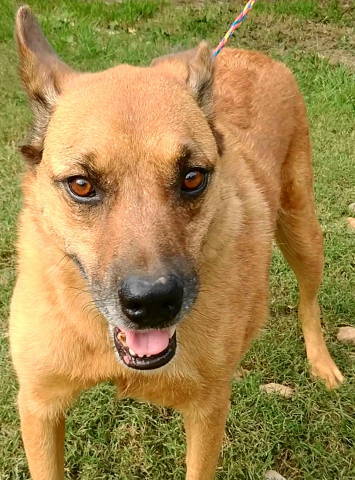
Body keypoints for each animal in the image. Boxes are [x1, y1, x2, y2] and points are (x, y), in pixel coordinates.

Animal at [9, 4, 344, 480]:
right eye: (81, 184)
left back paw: (322, 363)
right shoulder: (40, 407)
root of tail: (252, 54)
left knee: (309, 302)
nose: (153, 304)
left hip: (302, 231)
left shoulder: (207, 413)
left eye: (192, 178)